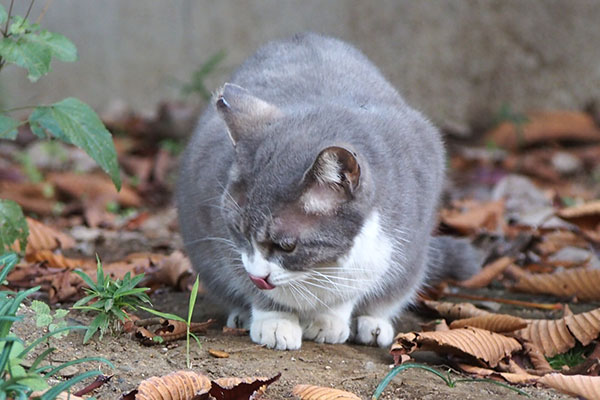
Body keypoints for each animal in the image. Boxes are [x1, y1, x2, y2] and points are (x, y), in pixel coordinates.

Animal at [176, 32, 480, 348]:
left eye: (287, 245)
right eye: (239, 231)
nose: (259, 277)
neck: (317, 268)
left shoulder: (382, 251)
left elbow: (346, 293)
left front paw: (328, 321)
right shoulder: (224, 242)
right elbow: (252, 283)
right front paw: (275, 322)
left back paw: (373, 325)